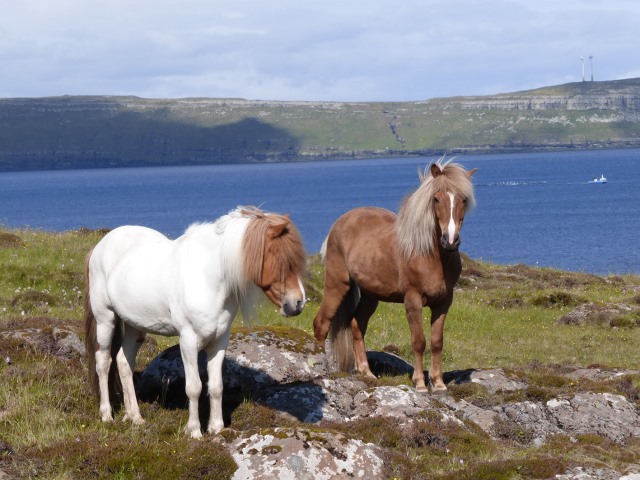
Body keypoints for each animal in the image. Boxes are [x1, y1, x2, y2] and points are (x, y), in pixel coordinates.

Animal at [84, 204, 306, 436]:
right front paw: (194, 431)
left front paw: (216, 428)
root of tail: (99, 246)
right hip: (106, 319)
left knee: (123, 362)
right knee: (103, 362)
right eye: (281, 259)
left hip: (134, 326)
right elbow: (194, 387)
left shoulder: (219, 341)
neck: (209, 276)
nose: (298, 303)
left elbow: (216, 386)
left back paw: (135, 417)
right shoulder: (188, 340)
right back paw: (107, 415)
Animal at [316, 161, 476, 394]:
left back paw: (367, 373)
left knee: (356, 325)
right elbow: (419, 341)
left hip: (370, 295)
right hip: (338, 284)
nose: (450, 241)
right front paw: (420, 383)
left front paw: (438, 383)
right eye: (436, 198)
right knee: (321, 324)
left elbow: (437, 342)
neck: (429, 255)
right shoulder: (412, 300)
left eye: (464, 199)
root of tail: (340, 222)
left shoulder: (444, 303)